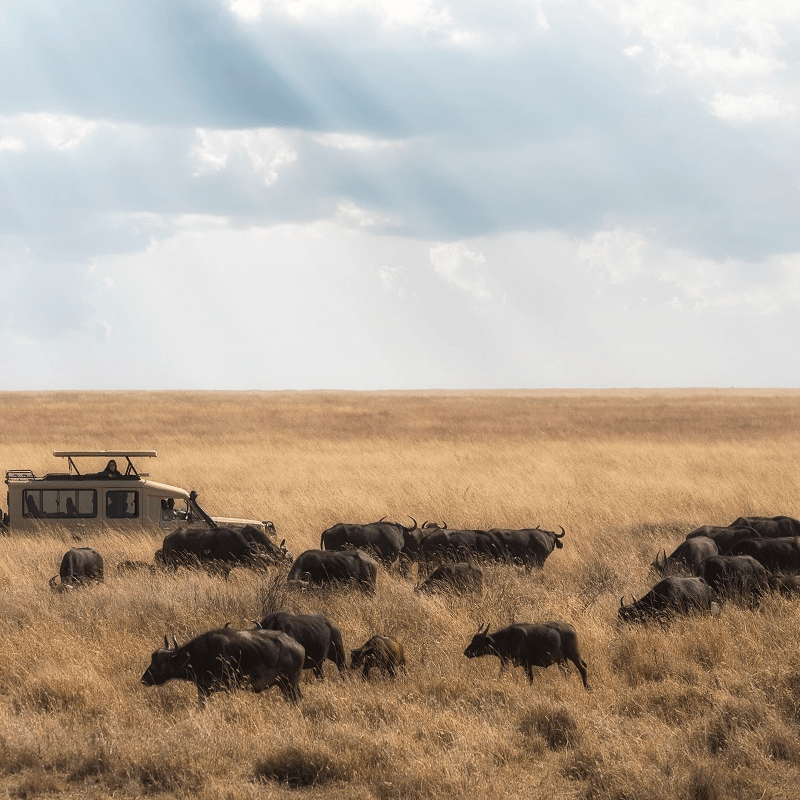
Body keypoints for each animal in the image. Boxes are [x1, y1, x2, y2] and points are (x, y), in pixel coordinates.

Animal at [139, 628, 304, 704]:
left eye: (159, 663)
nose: (144, 679)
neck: (202, 654)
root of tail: (299, 647)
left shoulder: (230, 687)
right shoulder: (203, 690)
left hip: (290, 684)